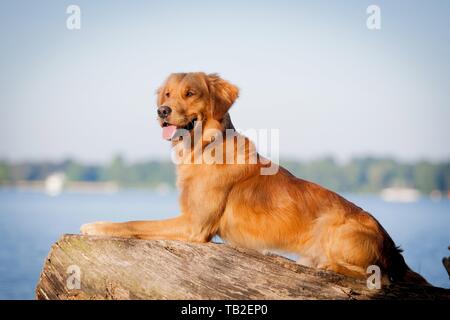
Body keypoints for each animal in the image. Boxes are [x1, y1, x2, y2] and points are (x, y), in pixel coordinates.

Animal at [81, 72, 428, 284]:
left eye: (190, 93)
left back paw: (327, 265)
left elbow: (133, 223)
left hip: (334, 226)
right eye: (166, 94)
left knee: (379, 277)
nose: (162, 111)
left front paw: (97, 226)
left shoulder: (195, 225)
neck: (203, 147)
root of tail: (391, 245)